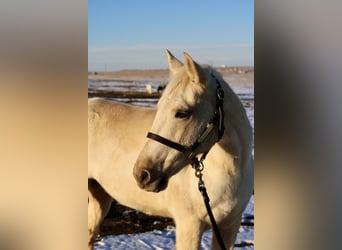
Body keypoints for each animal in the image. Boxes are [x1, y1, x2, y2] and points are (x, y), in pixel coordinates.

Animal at [88, 50, 254, 250]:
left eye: (182, 113)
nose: (141, 174)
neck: (230, 170)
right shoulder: (189, 227)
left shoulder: (229, 227)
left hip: (99, 196)